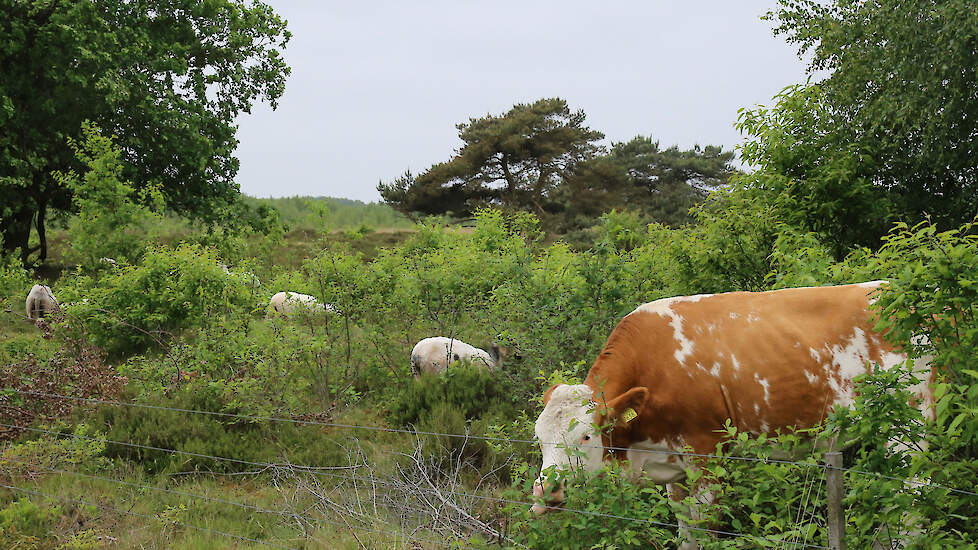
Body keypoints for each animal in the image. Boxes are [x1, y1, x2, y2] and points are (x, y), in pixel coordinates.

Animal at [528, 282, 936, 548]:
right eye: (538, 438)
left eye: (585, 436)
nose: (547, 490)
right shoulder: (674, 467)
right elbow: (686, 531)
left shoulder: (709, 457)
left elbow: (705, 529)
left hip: (912, 424)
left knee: (915, 498)